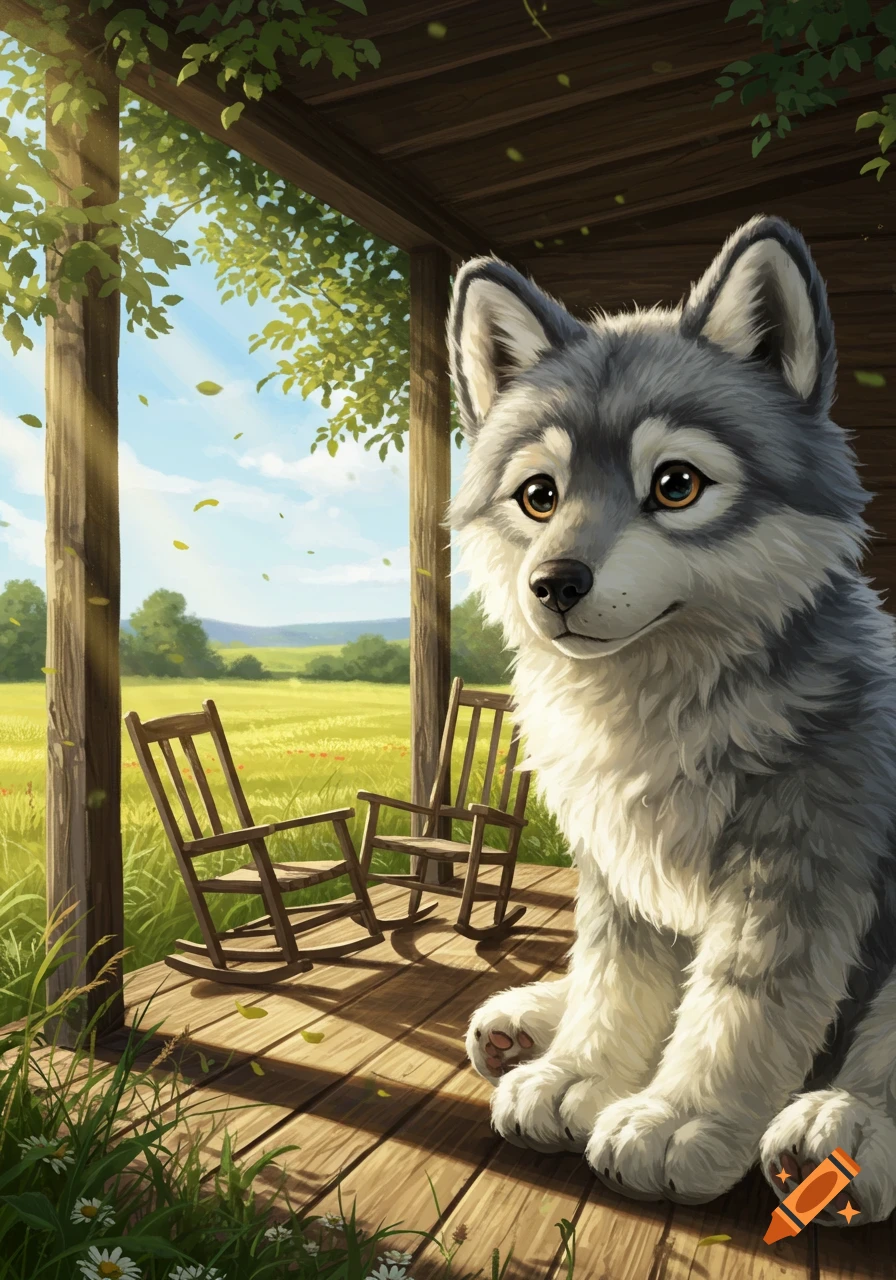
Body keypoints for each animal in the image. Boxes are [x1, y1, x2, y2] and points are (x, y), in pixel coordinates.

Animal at [447, 215, 896, 1226]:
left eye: (677, 484)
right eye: (540, 495)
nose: (552, 585)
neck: (662, 708)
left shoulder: (797, 865)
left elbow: (739, 1002)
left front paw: (678, 1118)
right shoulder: (620, 867)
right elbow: (617, 977)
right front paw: (578, 1072)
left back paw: (844, 1126)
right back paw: (530, 1023)